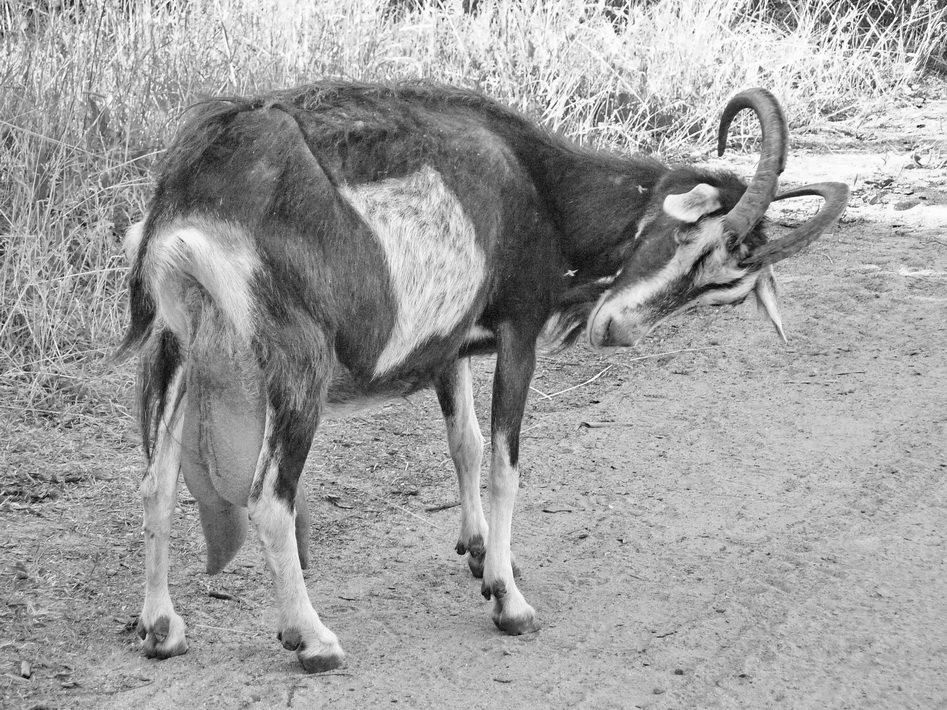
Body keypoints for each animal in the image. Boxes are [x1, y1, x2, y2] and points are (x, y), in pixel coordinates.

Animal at [118, 82, 852, 672]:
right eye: (689, 237)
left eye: (724, 289)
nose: (615, 329)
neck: (537, 184)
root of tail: (202, 184)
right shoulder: (518, 330)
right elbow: (505, 462)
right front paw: (508, 600)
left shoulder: (452, 347)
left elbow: (465, 444)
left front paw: (477, 552)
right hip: (298, 367)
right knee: (270, 496)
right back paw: (313, 640)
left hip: (175, 344)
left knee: (156, 481)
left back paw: (161, 629)